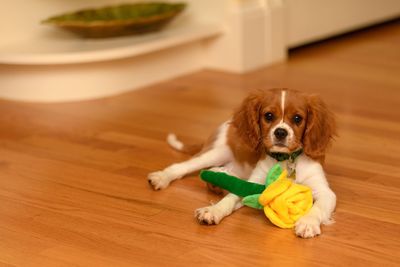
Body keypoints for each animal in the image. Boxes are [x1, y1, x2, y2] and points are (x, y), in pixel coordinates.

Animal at [148, 89, 336, 240]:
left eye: (297, 118)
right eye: (268, 116)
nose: (280, 132)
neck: (286, 161)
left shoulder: (325, 192)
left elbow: (318, 207)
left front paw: (307, 223)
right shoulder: (252, 184)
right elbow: (230, 198)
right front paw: (213, 211)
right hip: (216, 153)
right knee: (183, 166)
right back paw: (162, 177)